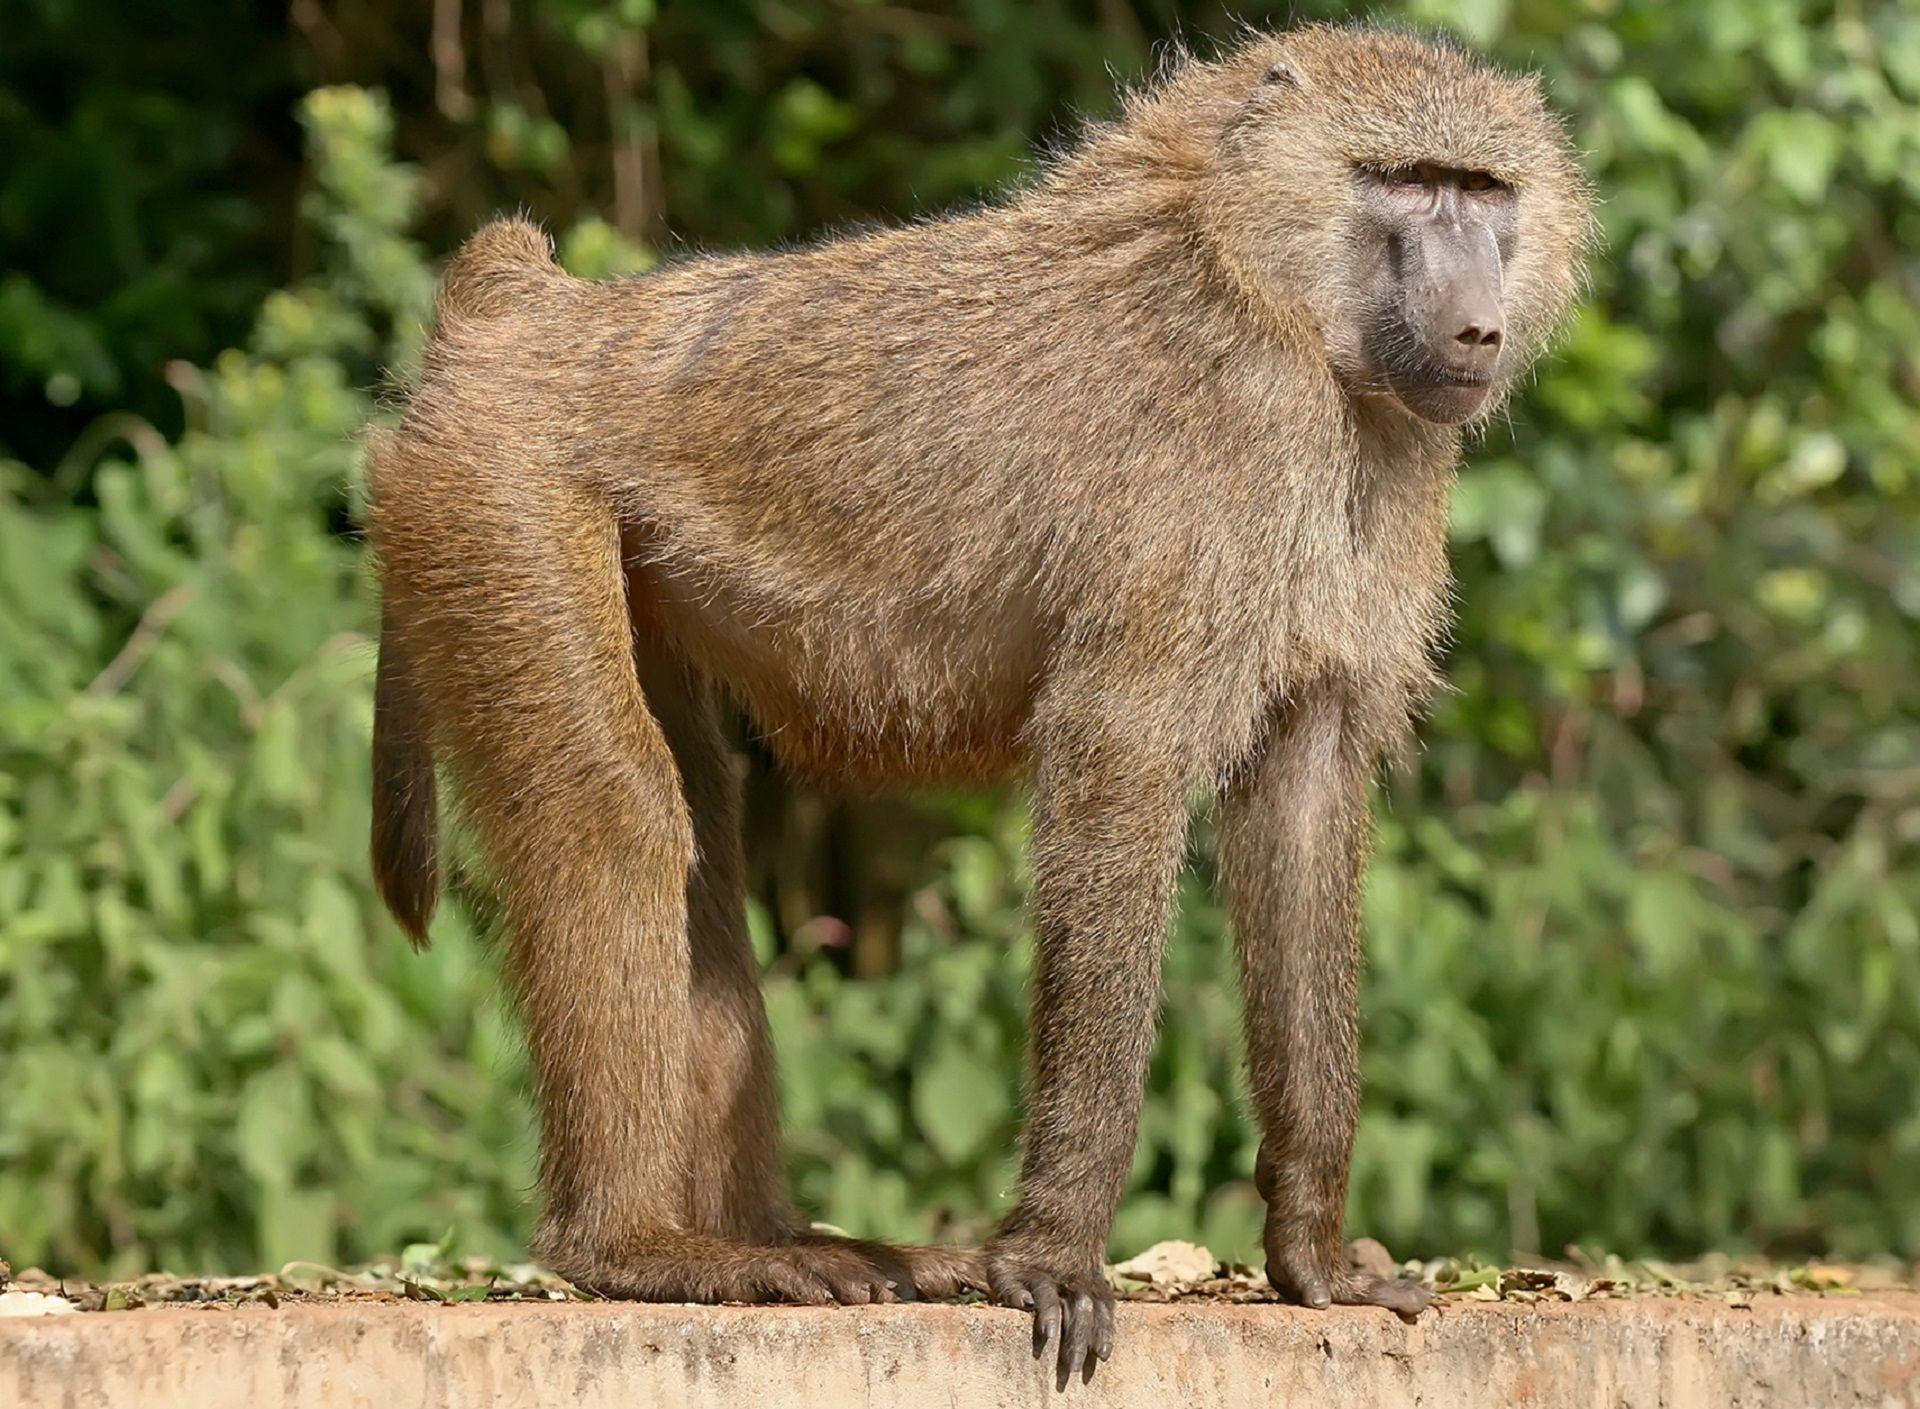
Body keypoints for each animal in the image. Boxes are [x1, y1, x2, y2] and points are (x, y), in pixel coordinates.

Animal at [366, 22, 1592, 1383]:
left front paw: (1316, 1257)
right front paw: (1055, 1255)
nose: (1477, 329)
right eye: (1409, 183)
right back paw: (639, 1248)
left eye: (1485, 191)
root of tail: (532, 316)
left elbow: (1306, 803)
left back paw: (769, 1239)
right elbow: (1118, 754)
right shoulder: (1222, 473)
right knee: (616, 815)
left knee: (701, 861)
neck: (1265, 285)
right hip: (500, 493)